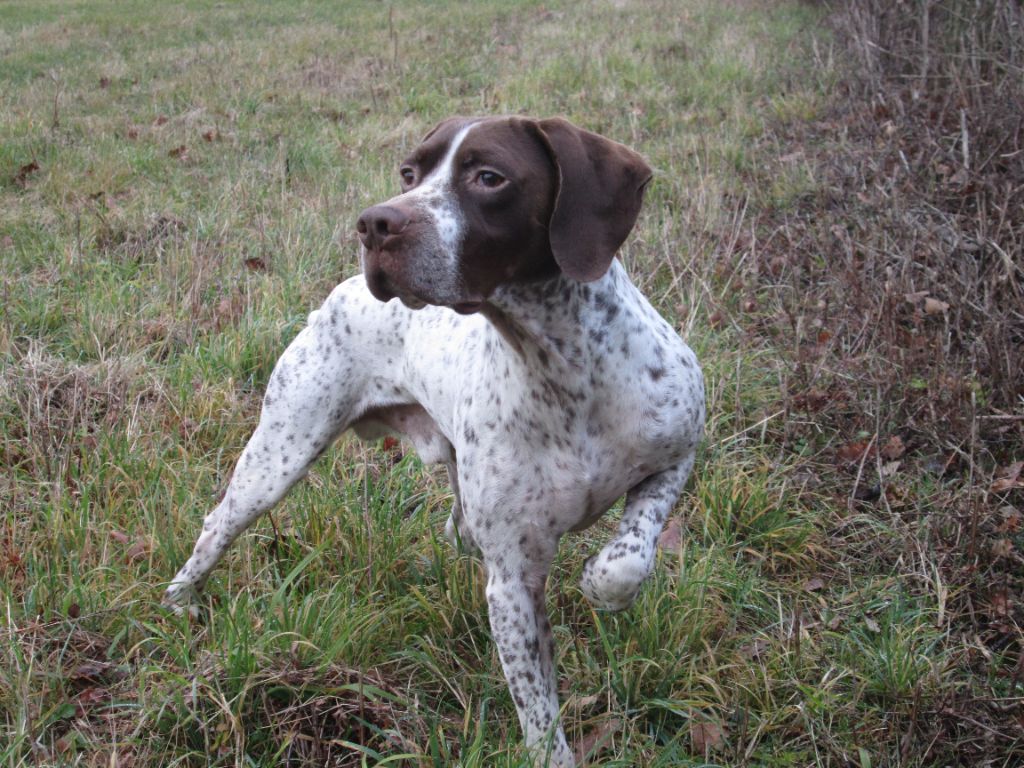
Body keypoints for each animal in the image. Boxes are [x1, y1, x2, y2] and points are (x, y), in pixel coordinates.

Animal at [165, 115, 704, 768]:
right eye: (409, 173)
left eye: (489, 177)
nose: (374, 224)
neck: (563, 367)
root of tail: (341, 290)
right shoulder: (513, 583)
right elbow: (539, 714)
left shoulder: (676, 453)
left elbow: (629, 557)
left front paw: (601, 584)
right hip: (278, 455)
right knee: (218, 523)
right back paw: (181, 601)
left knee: (458, 526)